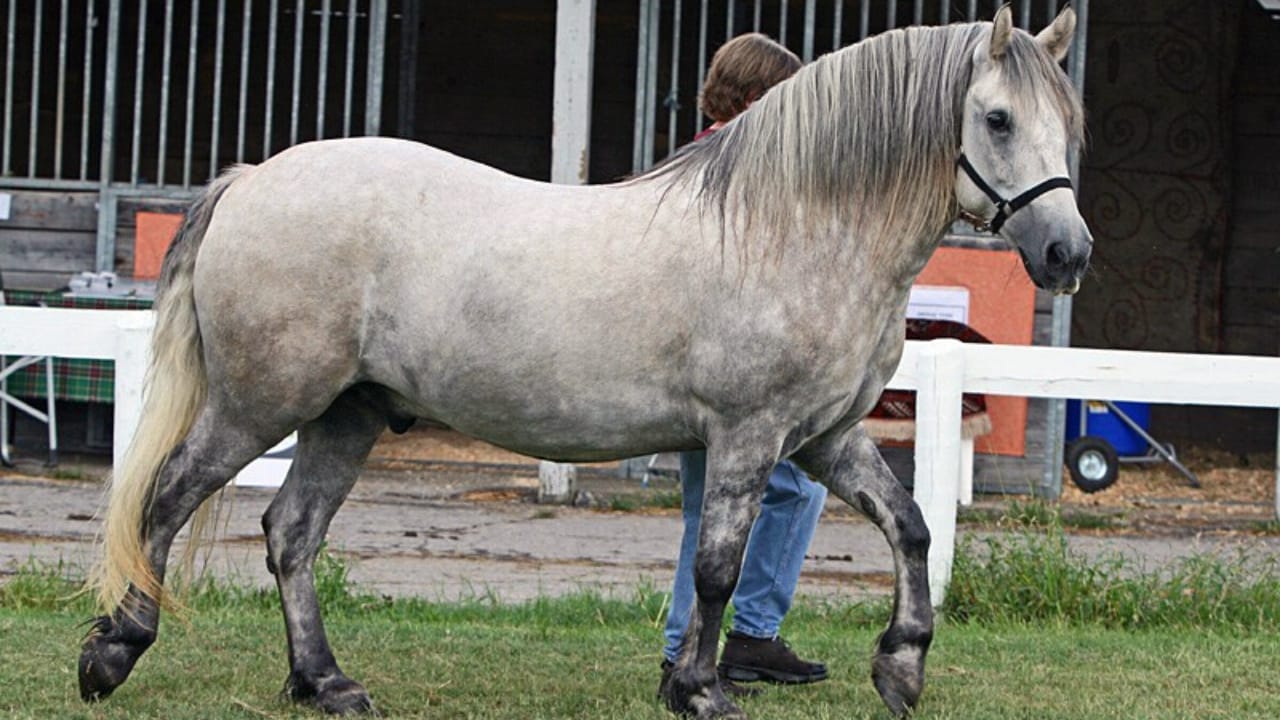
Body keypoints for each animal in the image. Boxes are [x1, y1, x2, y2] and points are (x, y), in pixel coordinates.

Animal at [78, 7, 1087, 719]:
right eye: (997, 118)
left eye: (1067, 126)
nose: (1066, 253)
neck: (796, 226)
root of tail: (253, 178)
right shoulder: (749, 437)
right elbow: (717, 566)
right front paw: (701, 691)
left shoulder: (825, 437)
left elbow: (909, 528)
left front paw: (902, 664)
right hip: (261, 405)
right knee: (165, 498)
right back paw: (113, 651)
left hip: (348, 413)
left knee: (291, 531)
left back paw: (325, 683)